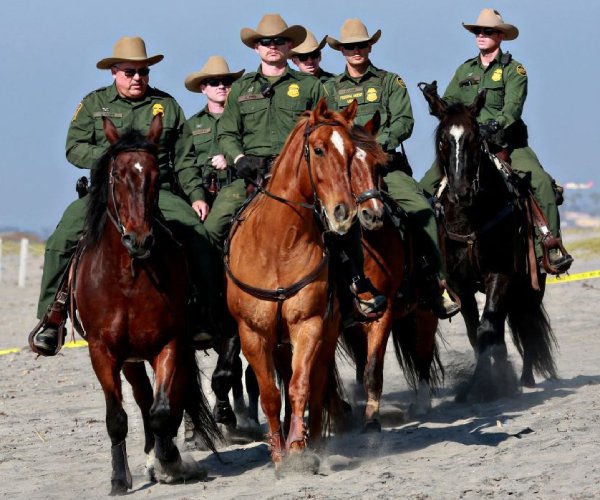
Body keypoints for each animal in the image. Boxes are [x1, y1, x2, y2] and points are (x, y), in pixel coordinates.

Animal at [72, 115, 221, 494]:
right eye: (117, 176)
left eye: (154, 175)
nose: (139, 239)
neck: (129, 277)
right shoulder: (102, 351)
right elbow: (117, 417)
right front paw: (119, 479)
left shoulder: (170, 343)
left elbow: (163, 409)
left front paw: (170, 462)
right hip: (130, 360)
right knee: (141, 397)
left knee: (169, 399)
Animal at [224, 98, 356, 472]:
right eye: (319, 149)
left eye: (352, 151)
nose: (344, 212)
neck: (278, 243)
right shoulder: (253, 333)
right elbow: (270, 394)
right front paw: (278, 452)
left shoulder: (307, 325)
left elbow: (300, 387)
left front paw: (298, 447)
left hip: (324, 334)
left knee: (318, 383)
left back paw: (313, 438)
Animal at [340, 115, 442, 432]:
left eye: (378, 165)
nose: (372, 215)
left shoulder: (382, 312)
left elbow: (374, 367)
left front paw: (371, 417)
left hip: (425, 308)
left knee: (423, 353)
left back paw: (422, 403)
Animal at [420, 89, 556, 402]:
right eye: (443, 139)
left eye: (473, 138)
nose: (461, 191)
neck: (471, 218)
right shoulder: (460, 284)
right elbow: (476, 333)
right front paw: (483, 384)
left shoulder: (500, 275)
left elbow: (485, 331)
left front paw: (483, 386)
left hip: (530, 287)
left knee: (527, 325)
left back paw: (525, 378)